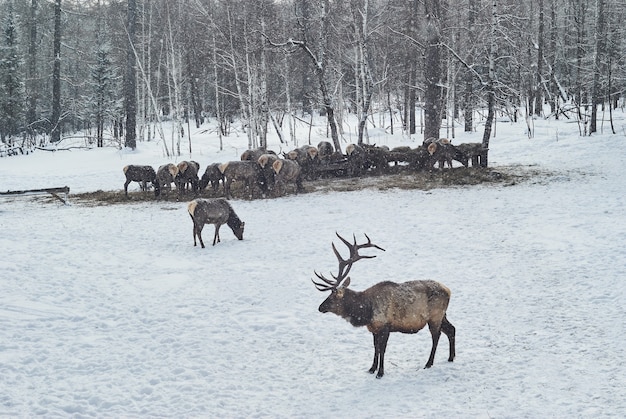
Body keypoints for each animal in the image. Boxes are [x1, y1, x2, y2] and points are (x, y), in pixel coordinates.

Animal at [310, 235, 454, 378]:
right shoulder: (374, 328)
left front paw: (380, 372)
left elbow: (382, 349)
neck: (366, 312)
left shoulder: (385, 326)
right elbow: (376, 348)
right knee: (451, 329)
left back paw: (429, 363)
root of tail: (449, 290)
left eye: (332, 297)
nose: (320, 307)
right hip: (443, 315)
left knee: (436, 336)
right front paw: (371, 369)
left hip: (435, 316)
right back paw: (451, 357)